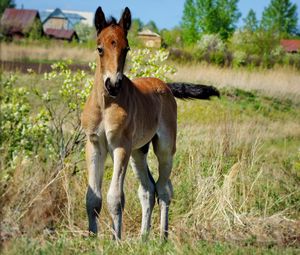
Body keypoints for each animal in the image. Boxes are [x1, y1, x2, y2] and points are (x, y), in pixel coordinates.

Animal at [81, 6, 219, 240]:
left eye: (126, 48)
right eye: (100, 48)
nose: (113, 85)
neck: (106, 104)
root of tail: (165, 86)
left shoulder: (121, 147)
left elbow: (115, 198)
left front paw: (115, 241)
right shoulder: (94, 145)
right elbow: (93, 198)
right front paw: (93, 239)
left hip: (164, 147)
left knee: (164, 188)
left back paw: (162, 237)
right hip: (138, 152)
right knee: (148, 189)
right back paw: (143, 238)